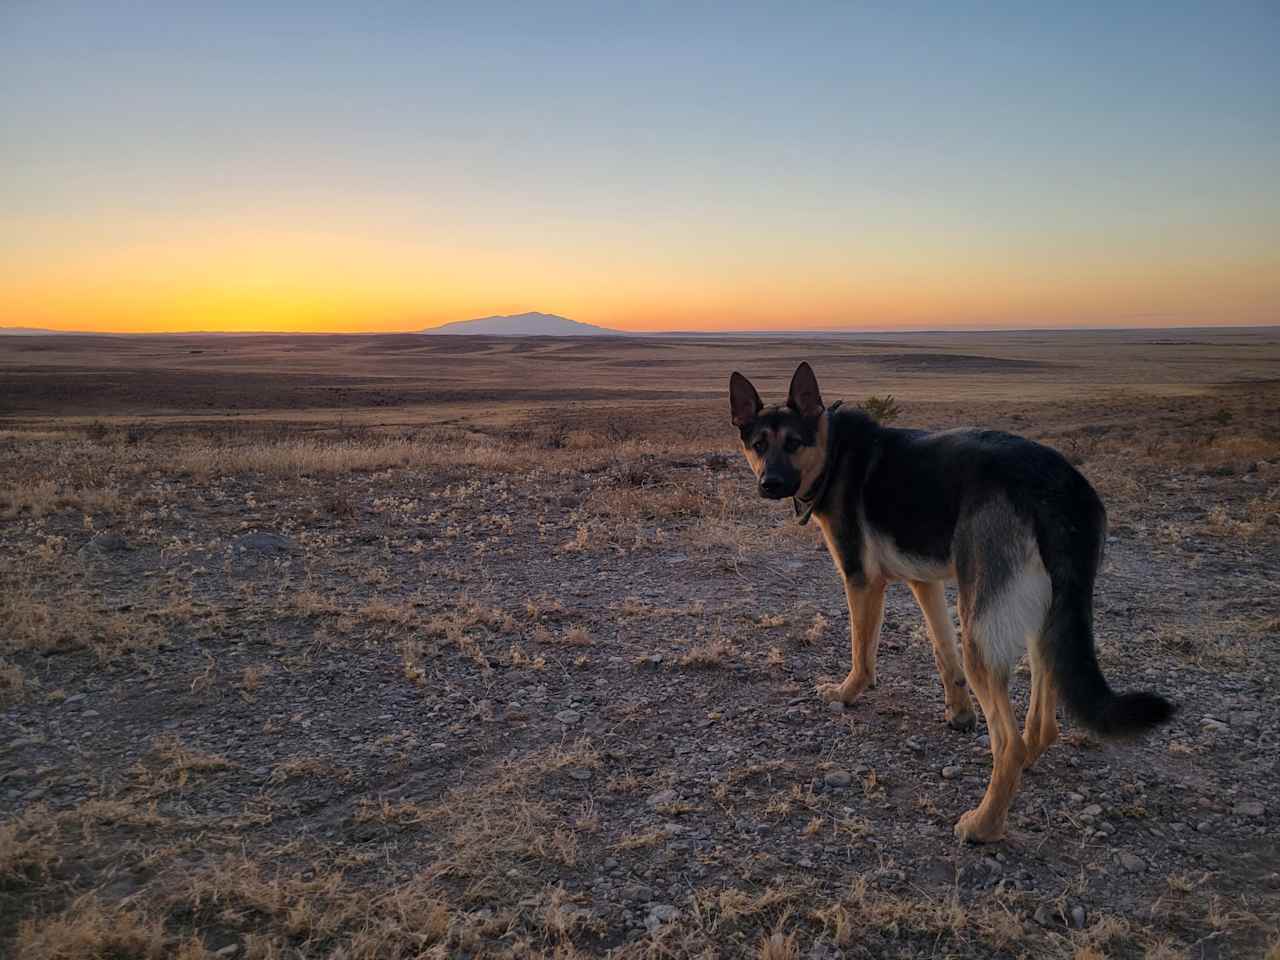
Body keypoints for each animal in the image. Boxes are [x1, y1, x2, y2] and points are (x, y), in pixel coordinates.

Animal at [732, 360, 1172, 839]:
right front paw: (959, 713)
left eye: (793, 443)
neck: (832, 452)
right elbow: (943, 652)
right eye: (758, 445)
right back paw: (1021, 771)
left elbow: (862, 652)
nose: (770, 483)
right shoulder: (923, 582)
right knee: (1042, 725)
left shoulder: (862, 581)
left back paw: (983, 824)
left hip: (981, 625)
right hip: (1044, 613)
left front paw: (846, 693)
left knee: (1009, 741)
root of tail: (1058, 485)